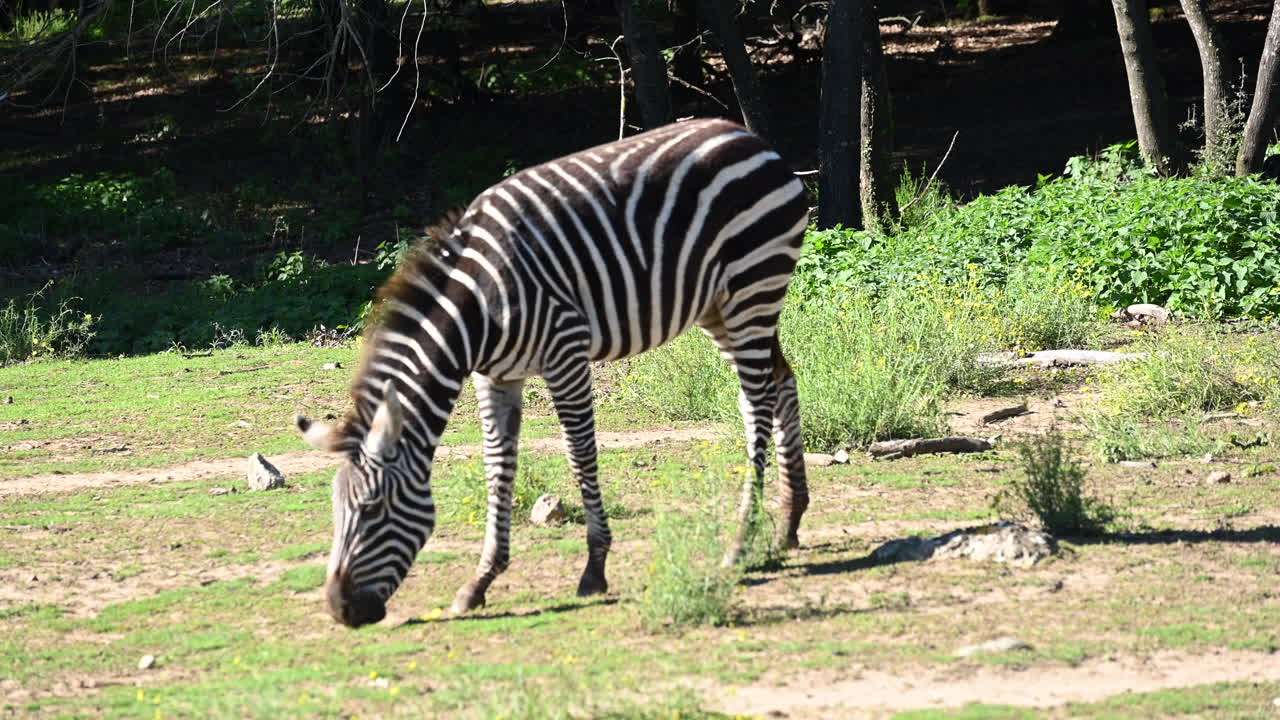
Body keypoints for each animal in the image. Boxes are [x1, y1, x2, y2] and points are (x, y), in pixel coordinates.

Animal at [296, 118, 811, 627]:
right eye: (334, 509)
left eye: (372, 509)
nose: (340, 611)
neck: (478, 310)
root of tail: (752, 140)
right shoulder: (495, 377)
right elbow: (498, 467)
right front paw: (481, 581)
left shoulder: (565, 355)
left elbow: (580, 455)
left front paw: (595, 568)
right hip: (719, 307)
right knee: (780, 383)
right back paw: (788, 524)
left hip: (751, 288)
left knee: (758, 401)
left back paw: (741, 542)